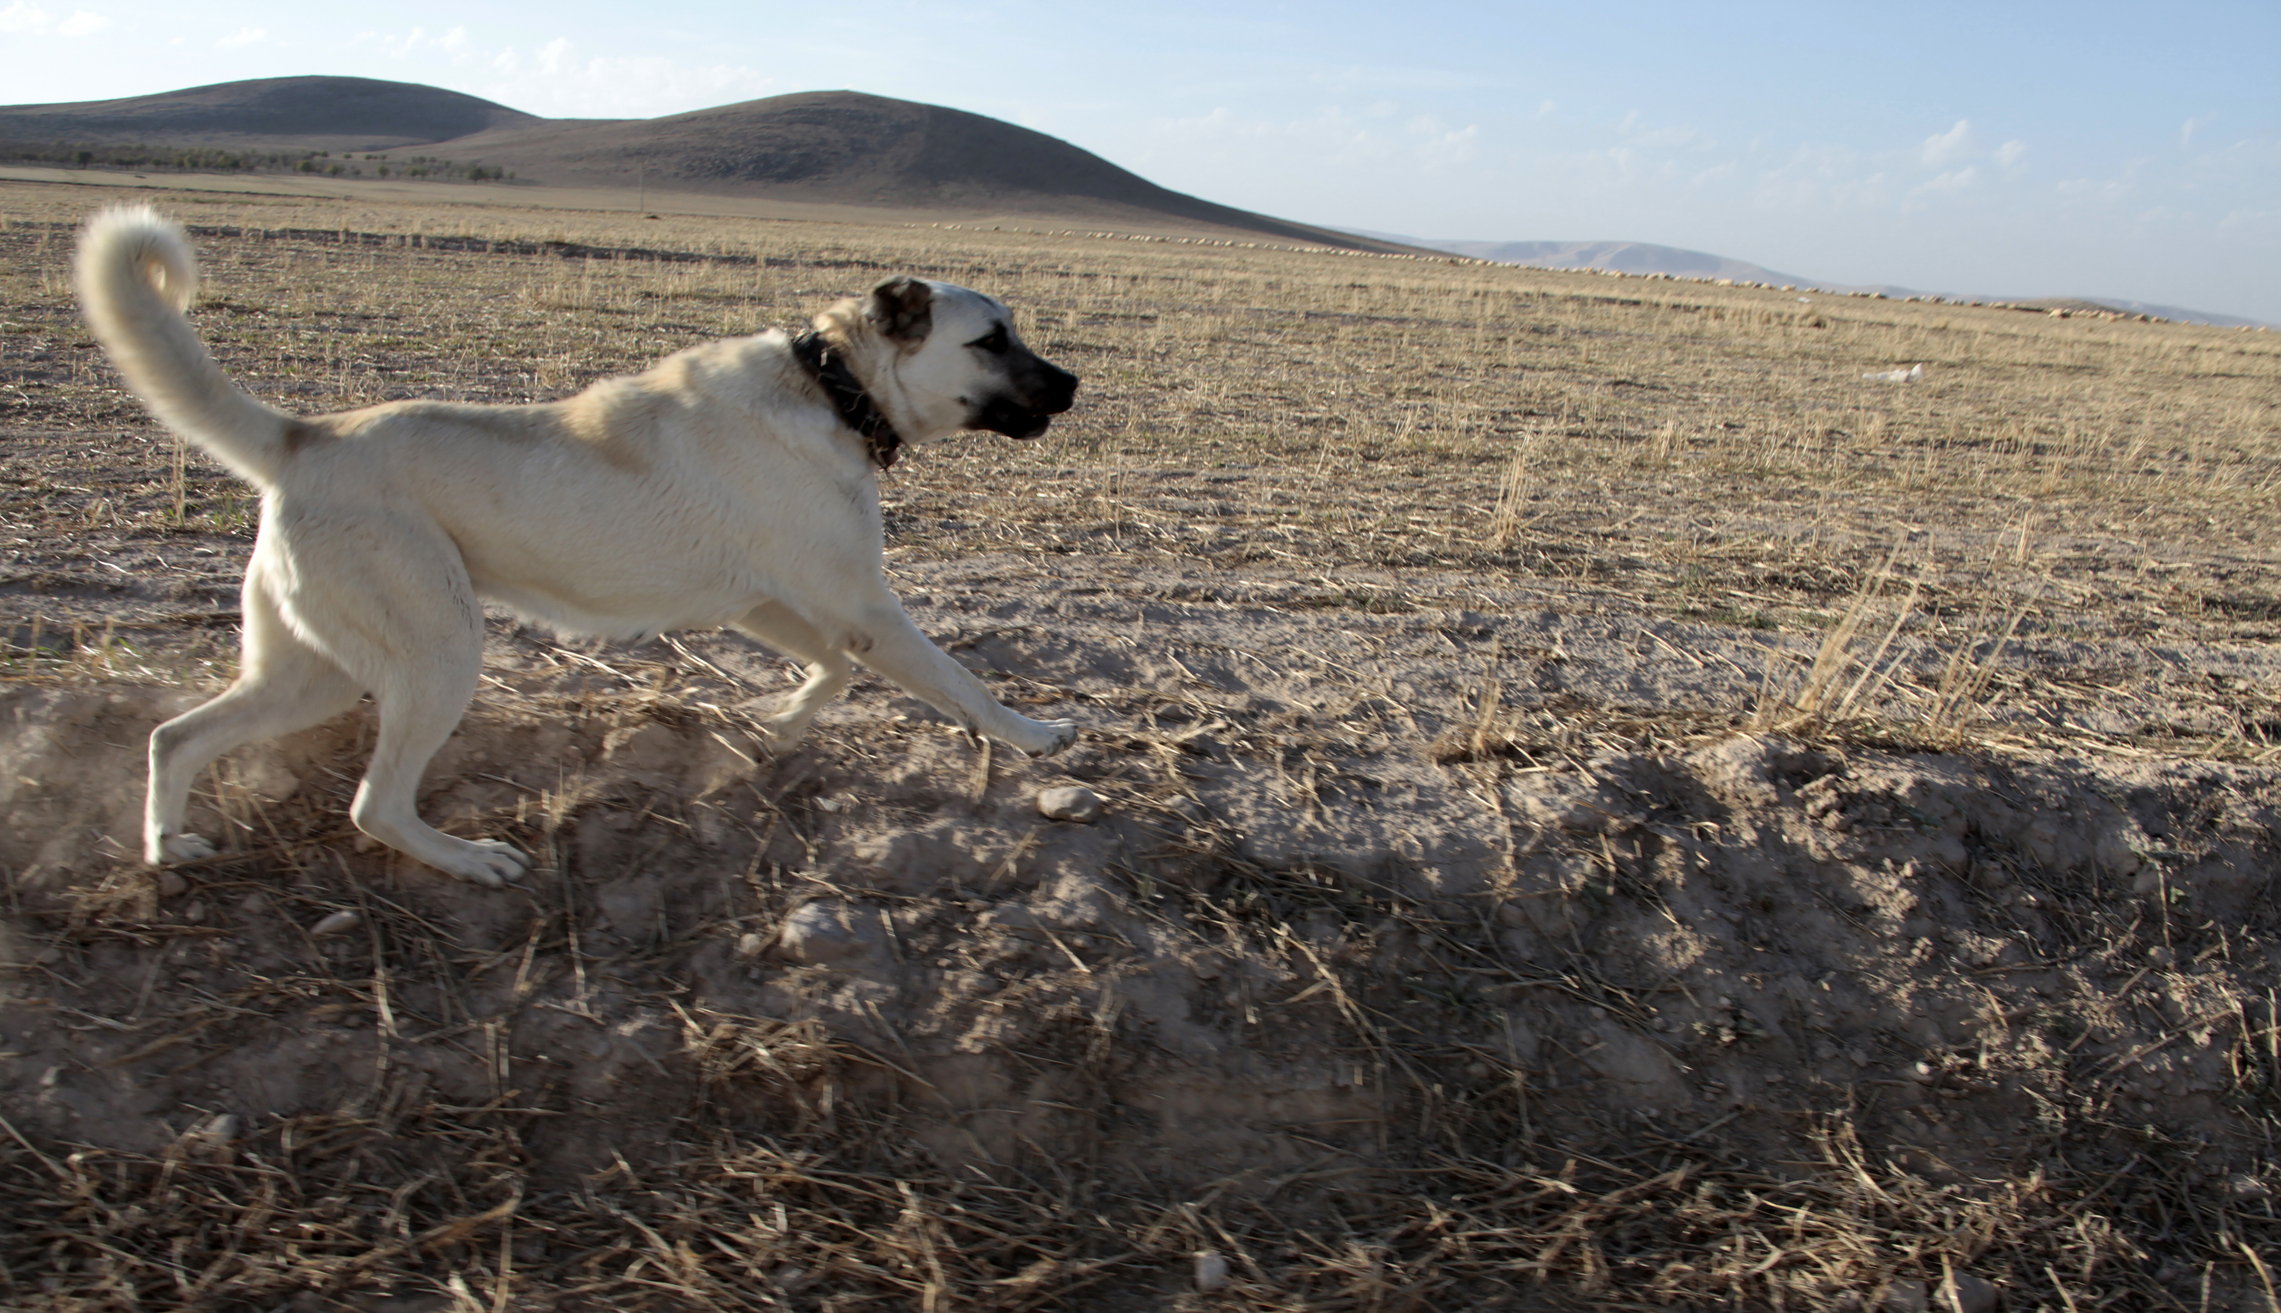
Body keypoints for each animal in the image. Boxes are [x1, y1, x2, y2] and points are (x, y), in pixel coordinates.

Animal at [78, 207, 1076, 884]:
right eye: (992, 339)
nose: (1072, 384)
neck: (833, 386)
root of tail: (303, 436)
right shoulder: (862, 604)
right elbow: (960, 682)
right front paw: (1035, 734)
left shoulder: (766, 601)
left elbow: (829, 668)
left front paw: (775, 723)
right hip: (437, 653)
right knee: (373, 803)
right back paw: (471, 860)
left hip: (311, 670)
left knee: (175, 735)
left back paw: (166, 843)